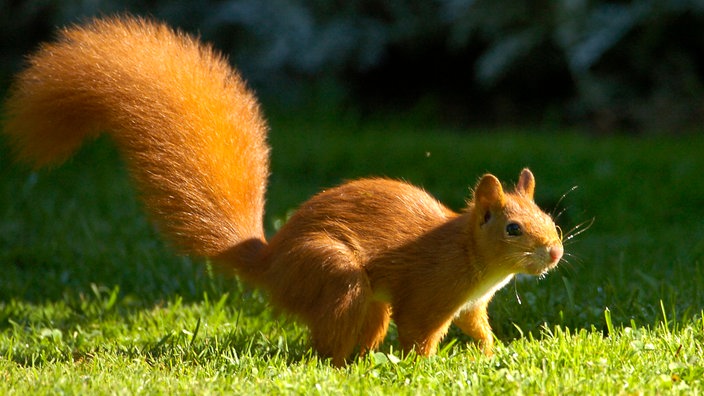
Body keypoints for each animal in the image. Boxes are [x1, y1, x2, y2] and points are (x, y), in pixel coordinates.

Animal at [0, 16, 560, 368]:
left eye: (551, 220)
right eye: (513, 228)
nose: (554, 253)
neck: (470, 255)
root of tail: (272, 263)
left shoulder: (471, 305)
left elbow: (479, 330)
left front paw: (496, 356)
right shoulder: (428, 292)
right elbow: (419, 332)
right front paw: (422, 370)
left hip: (358, 297)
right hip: (338, 276)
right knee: (328, 341)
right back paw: (344, 367)